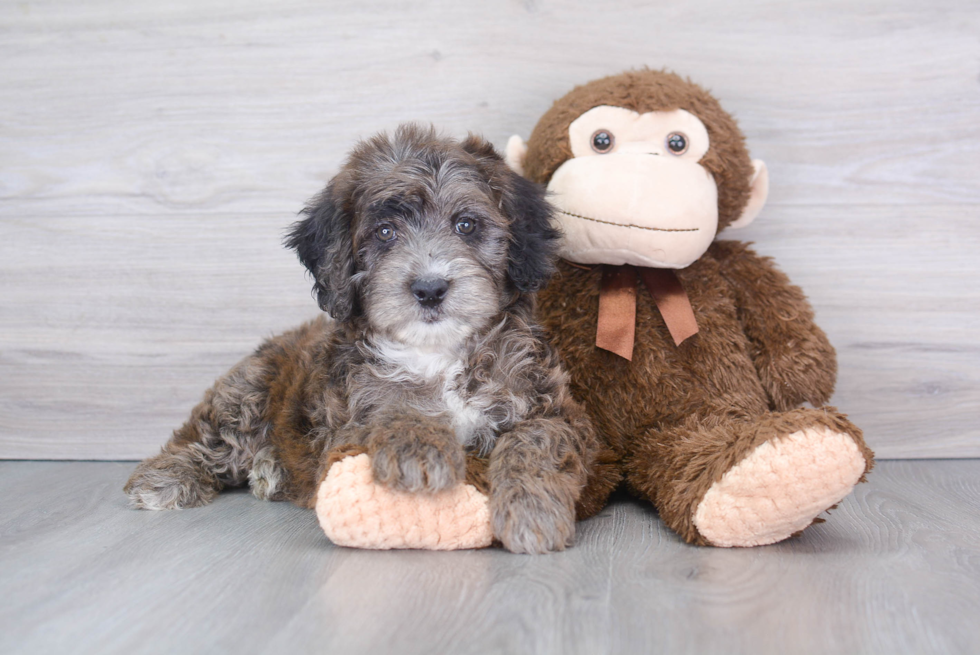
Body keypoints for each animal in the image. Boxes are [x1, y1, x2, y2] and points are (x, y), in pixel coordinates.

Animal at [122, 124, 596, 552]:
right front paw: (417, 448)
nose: (429, 289)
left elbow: (534, 441)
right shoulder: (347, 417)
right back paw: (164, 478)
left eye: (466, 224)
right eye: (384, 233)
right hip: (246, 391)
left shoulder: (552, 406)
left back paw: (269, 470)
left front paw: (532, 512)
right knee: (206, 440)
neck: (437, 353)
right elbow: (393, 403)